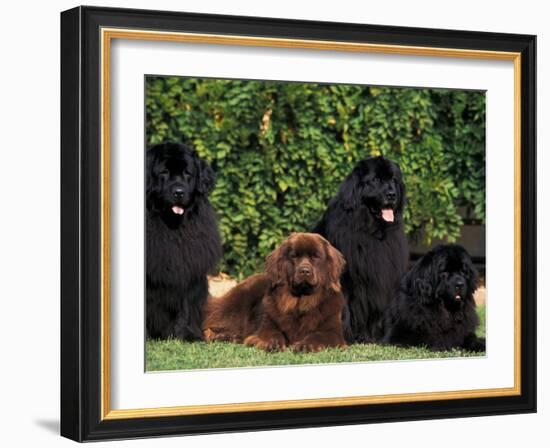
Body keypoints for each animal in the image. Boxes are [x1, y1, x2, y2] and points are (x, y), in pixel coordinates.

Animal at [149, 142, 224, 342]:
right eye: (164, 172)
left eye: (187, 173)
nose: (179, 192)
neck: (173, 227)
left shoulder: (188, 266)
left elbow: (186, 305)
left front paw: (187, 335)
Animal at [203, 233, 350, 352]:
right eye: (294, 256)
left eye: (316, 256)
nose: (304, 271)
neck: (301, 302)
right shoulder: (268, 324)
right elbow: (272, 333)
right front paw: (272, 344)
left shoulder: (333, 331)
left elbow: (318, 336)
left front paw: (305, 346)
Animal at [314, 156, 410, 342]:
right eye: (376, 180)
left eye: (393, 180)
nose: (392, 195)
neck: (372, 231)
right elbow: (344, 306)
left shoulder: (379, 277)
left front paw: (374, 336)